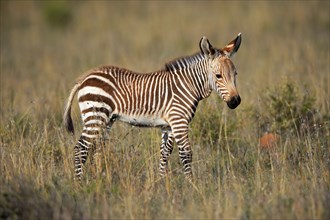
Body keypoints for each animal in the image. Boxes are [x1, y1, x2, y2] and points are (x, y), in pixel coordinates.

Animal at [63, 33, 242, 180]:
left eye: (235, 74)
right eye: (218, 76)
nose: (236, 101)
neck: (188, 86)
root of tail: (85, 78)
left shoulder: (169, 126)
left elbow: (165, 153)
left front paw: (161, 183)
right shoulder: (179, 121)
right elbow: (186, 154)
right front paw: (192, 186)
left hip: (106, 120)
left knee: (97, 149)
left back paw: (100, 179)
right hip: (95, 116)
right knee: (80, 149)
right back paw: (80, 184)